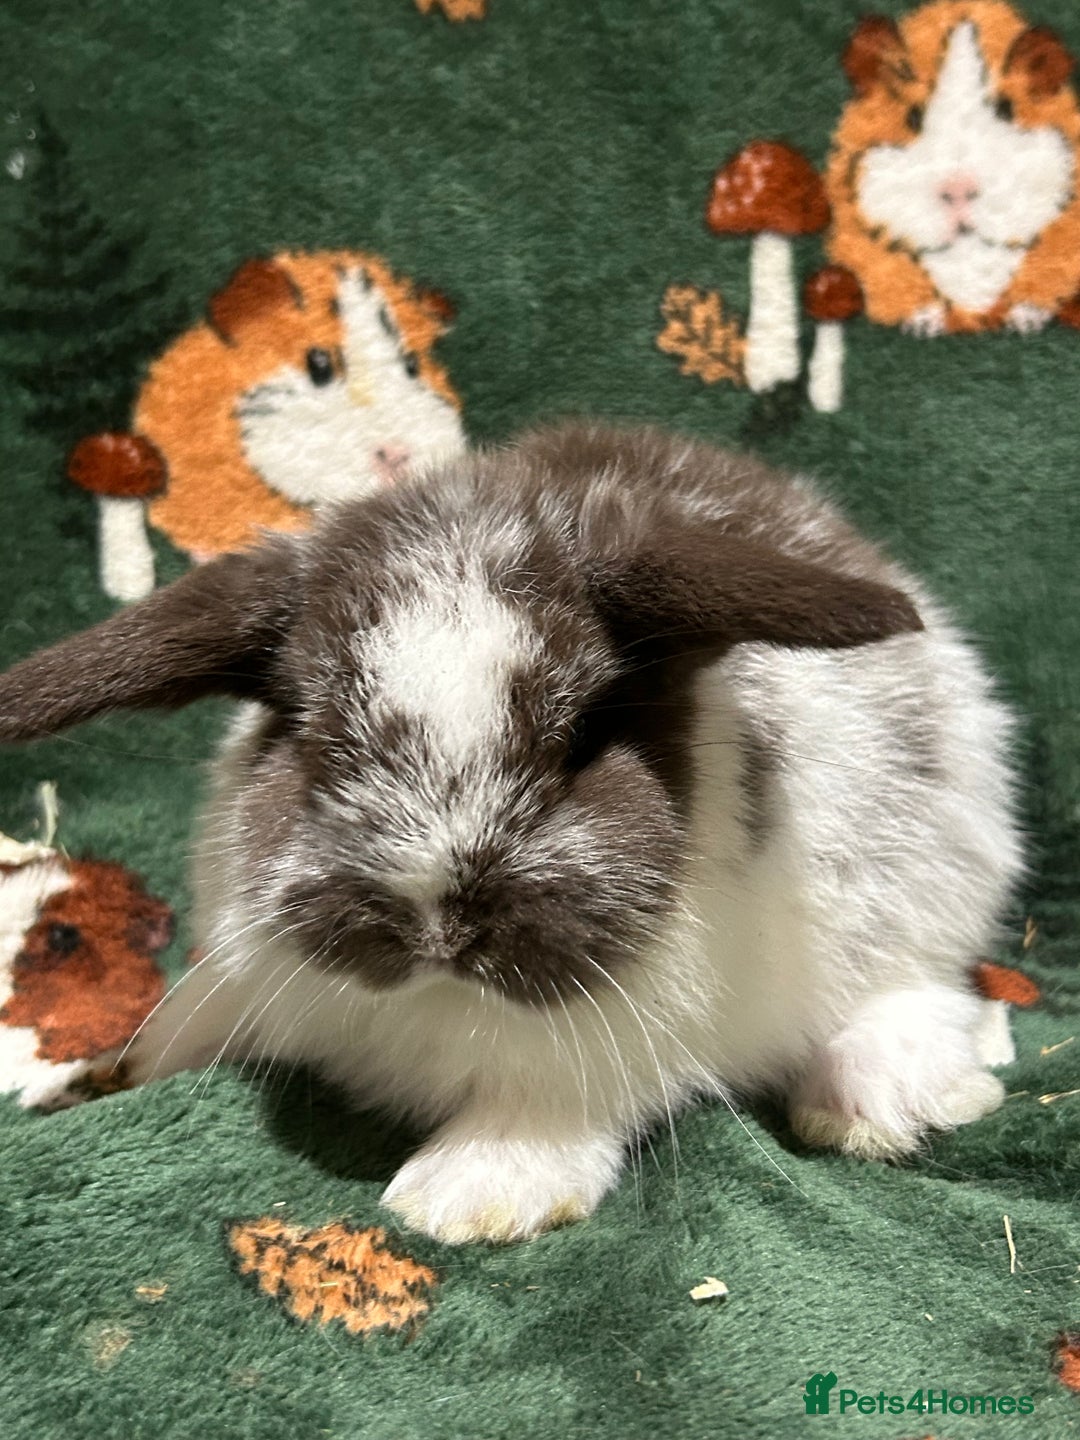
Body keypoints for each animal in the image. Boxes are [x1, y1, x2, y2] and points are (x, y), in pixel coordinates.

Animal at [0, 423, 1022, 1243]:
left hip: (932, 879)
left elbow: (539, 1108)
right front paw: (97, 1076)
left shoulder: (598, 1055)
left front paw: (463, 1201)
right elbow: (190, 1019)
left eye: (578, 738)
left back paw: (884, 1100)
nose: (435, 921)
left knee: (920, 991)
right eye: (318, 739)